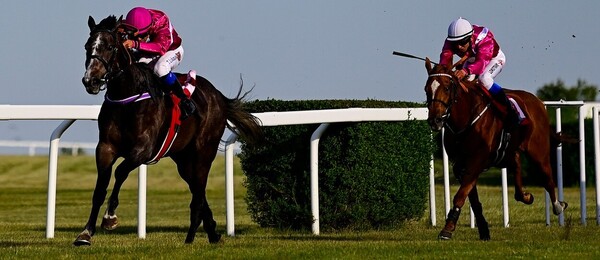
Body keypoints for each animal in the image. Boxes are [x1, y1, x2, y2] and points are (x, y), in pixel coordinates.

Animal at [75, 15, 262, 245]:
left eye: (110, 47)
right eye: (87, 47)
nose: (90, 81)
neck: (127, 99)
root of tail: (218, 96)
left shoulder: (143, 149)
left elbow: (120, 172)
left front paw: (110, 217)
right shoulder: (105, 148)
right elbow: (100, 188)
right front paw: (85, 233)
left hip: (204, 151)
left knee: (199, 190)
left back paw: (192, 236)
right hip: (182, 158)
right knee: (196, 187)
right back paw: (212, 231)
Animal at [422, 58, 568, 241]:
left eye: (447, 88)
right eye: (427, 89)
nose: (435, 120)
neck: (466, 117)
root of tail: (537, 101)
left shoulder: (476, 161)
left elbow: (460, 195)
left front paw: (447, 229)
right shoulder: (460, 165)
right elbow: (472, 198)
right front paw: (483, 229)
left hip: (538, 152)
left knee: (547, 178)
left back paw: (558, 205)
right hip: (509, 152)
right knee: (517, 164)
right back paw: (525, 196)